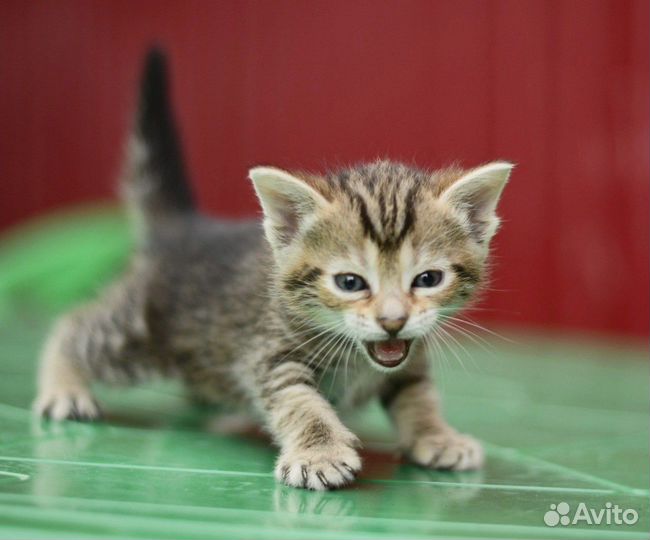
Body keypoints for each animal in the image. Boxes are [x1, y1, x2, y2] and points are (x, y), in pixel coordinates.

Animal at [34, 49, 512, 490]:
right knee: (75, 326)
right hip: (140, 331)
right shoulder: (270, 354)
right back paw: (64, 388)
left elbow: (418, 395)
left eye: (428, 280)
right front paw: (320, 453)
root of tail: (185, 227)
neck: (357, 357)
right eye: (350, 283)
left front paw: (437, 436)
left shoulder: (408, 361)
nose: (393, 321)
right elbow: (301, 402)